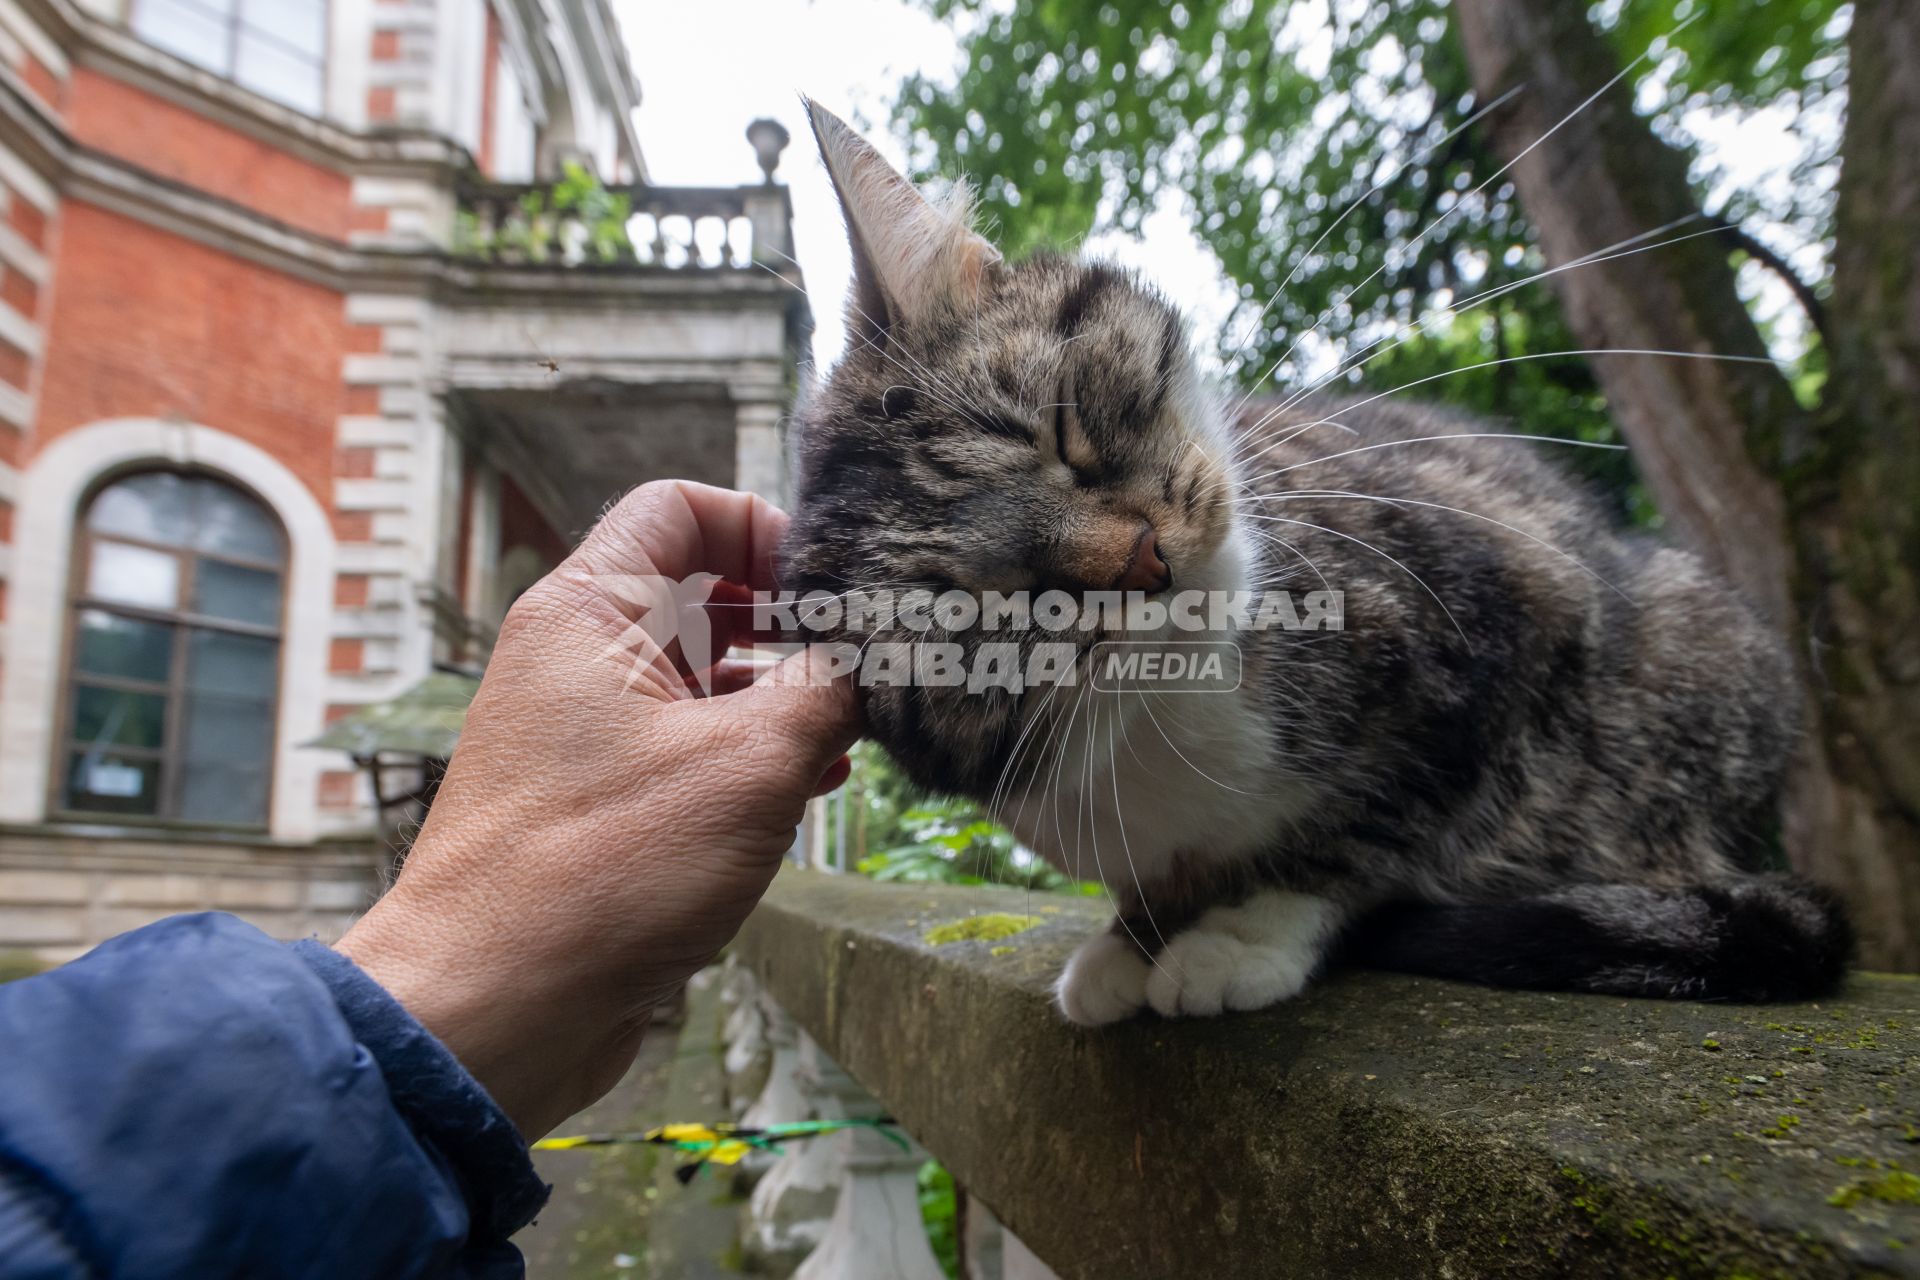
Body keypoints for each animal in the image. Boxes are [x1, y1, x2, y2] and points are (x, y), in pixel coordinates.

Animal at [771, 100, 1850, 1028]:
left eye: (1063, 429)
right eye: (986, 613)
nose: (1145, 561)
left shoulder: (1514, 628)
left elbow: (1382, 820)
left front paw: (1247, 932)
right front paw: (1133, 938)